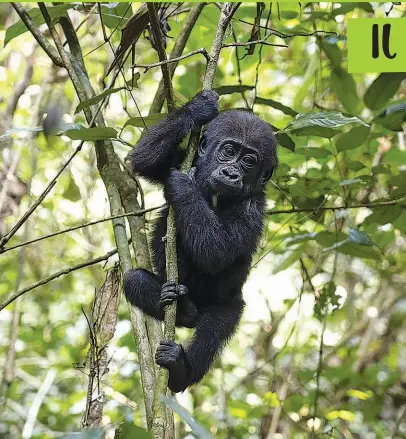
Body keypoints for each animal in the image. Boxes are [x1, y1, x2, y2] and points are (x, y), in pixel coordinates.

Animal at [124, 91, 276, 394]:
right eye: (228, 151)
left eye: (249, 161)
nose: (231, 173)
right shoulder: (184, 158)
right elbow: (144, 159)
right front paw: (199, 107)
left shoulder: (253, 209)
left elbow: (215, 252)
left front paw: (183, 185)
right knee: (134, 279)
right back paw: (182, 308)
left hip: (225, 304)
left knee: (215, 325)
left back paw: (180, 368)